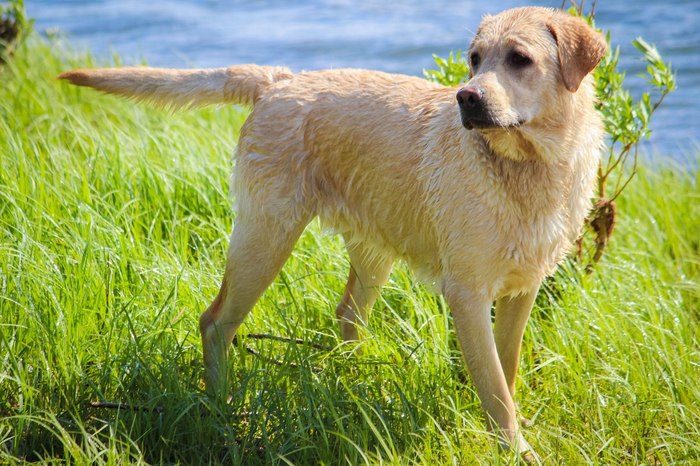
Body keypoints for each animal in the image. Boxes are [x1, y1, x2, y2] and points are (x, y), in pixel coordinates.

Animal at [60, 5, 608, 460]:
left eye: (520, 59)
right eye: (474, 59)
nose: (466, 97)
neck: (528, 166)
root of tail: (281, 80)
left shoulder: (523, 289)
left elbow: (507, 369)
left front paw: (513, 434)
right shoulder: (467, 293)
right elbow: (494, 388)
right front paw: (516, 450)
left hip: (371, 250)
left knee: (346, 315)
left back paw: (356, 383)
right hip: (266, 236)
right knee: (215, 322)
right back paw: (223, 411)